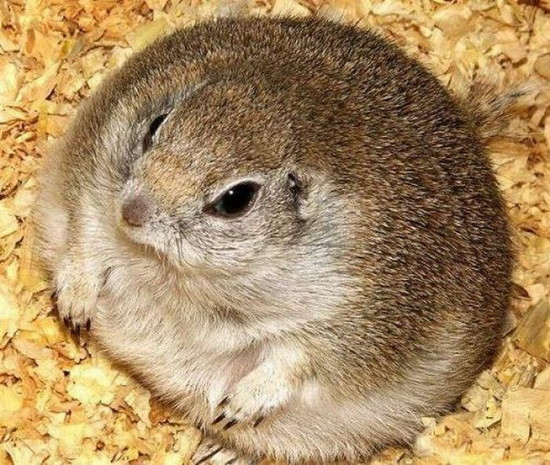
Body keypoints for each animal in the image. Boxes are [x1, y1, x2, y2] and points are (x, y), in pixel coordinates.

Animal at [32, 16, 516, 465]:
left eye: (236, 198)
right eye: (155, 125)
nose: (131, 212)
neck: (174, 268)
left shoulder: (352, 325)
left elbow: (296, 358)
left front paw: (237, 407)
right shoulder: (92, 175)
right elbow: (84, 240)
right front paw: (74, 309)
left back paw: (219, 449)